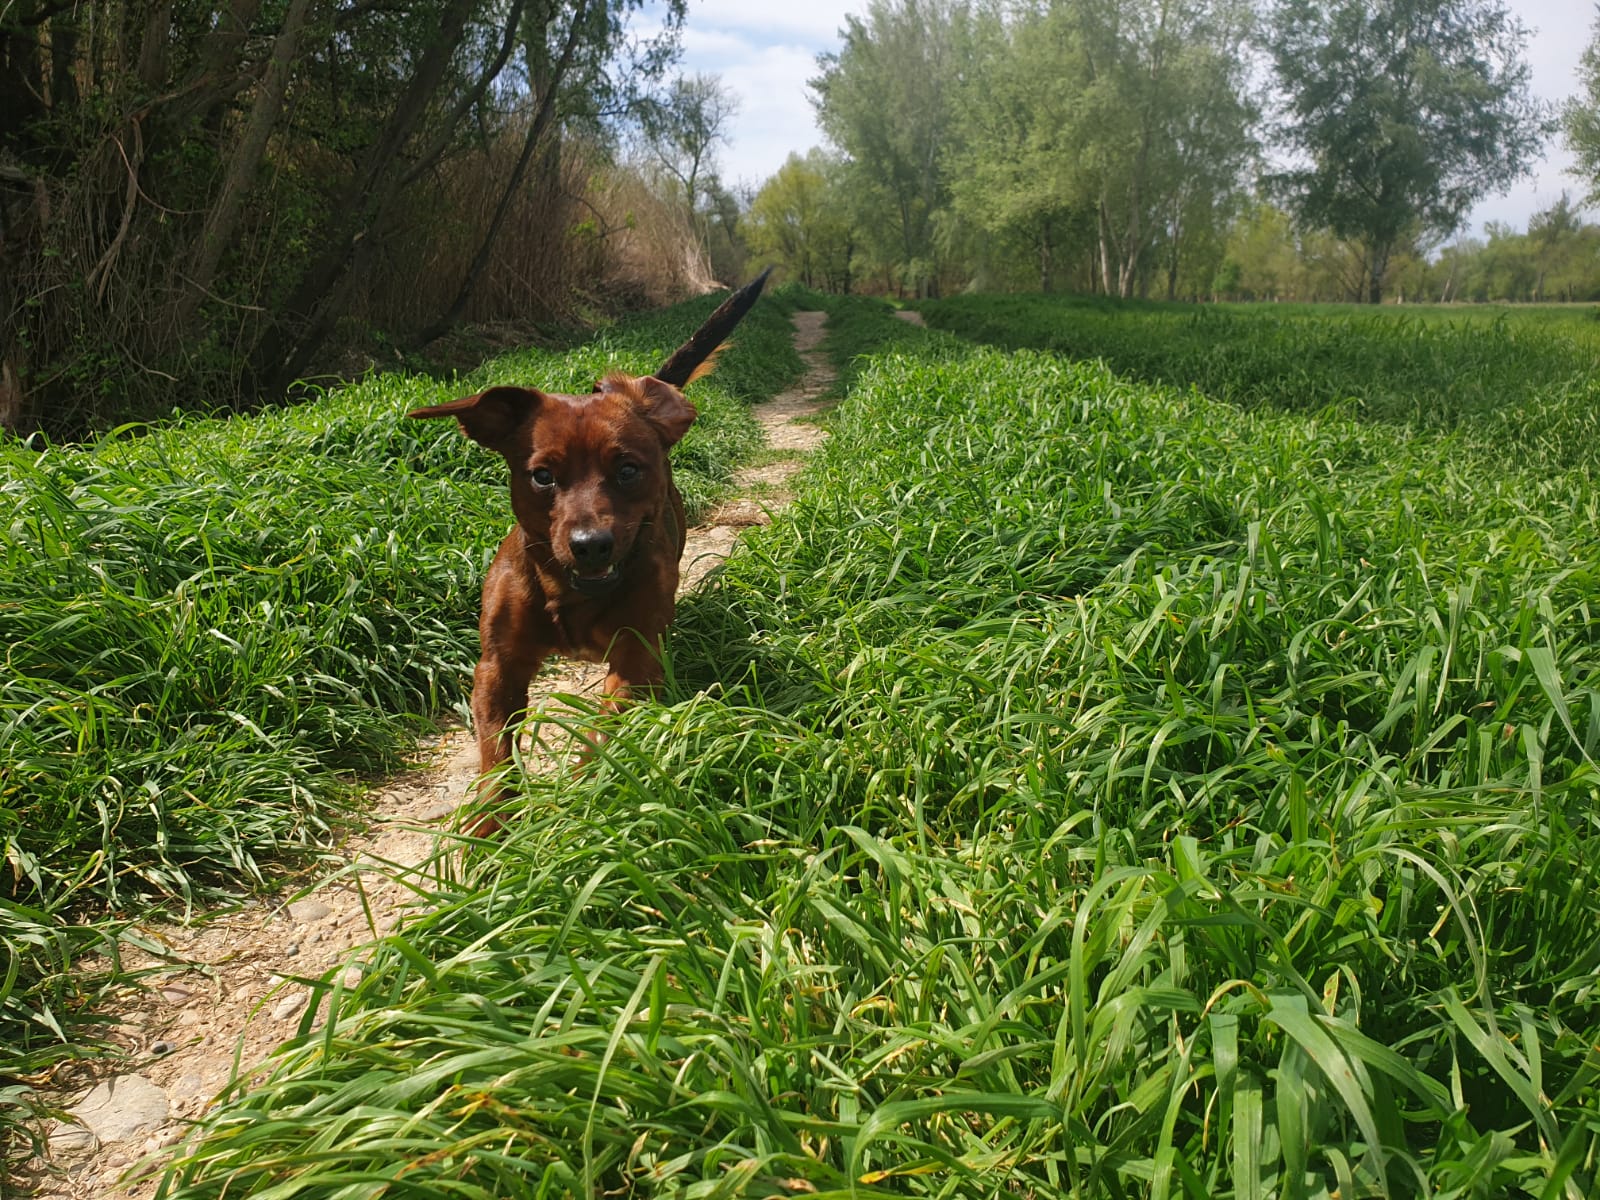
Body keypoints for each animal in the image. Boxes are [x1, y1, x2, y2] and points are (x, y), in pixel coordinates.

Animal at [406, 267, 768, 832]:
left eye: (628, 469)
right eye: (542, 476)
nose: (591, 546)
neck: (568, 593)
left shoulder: (635, 657)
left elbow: (601, 731)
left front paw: (572, 805)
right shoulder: (497, 668)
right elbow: (495, 754)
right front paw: (490, 824)